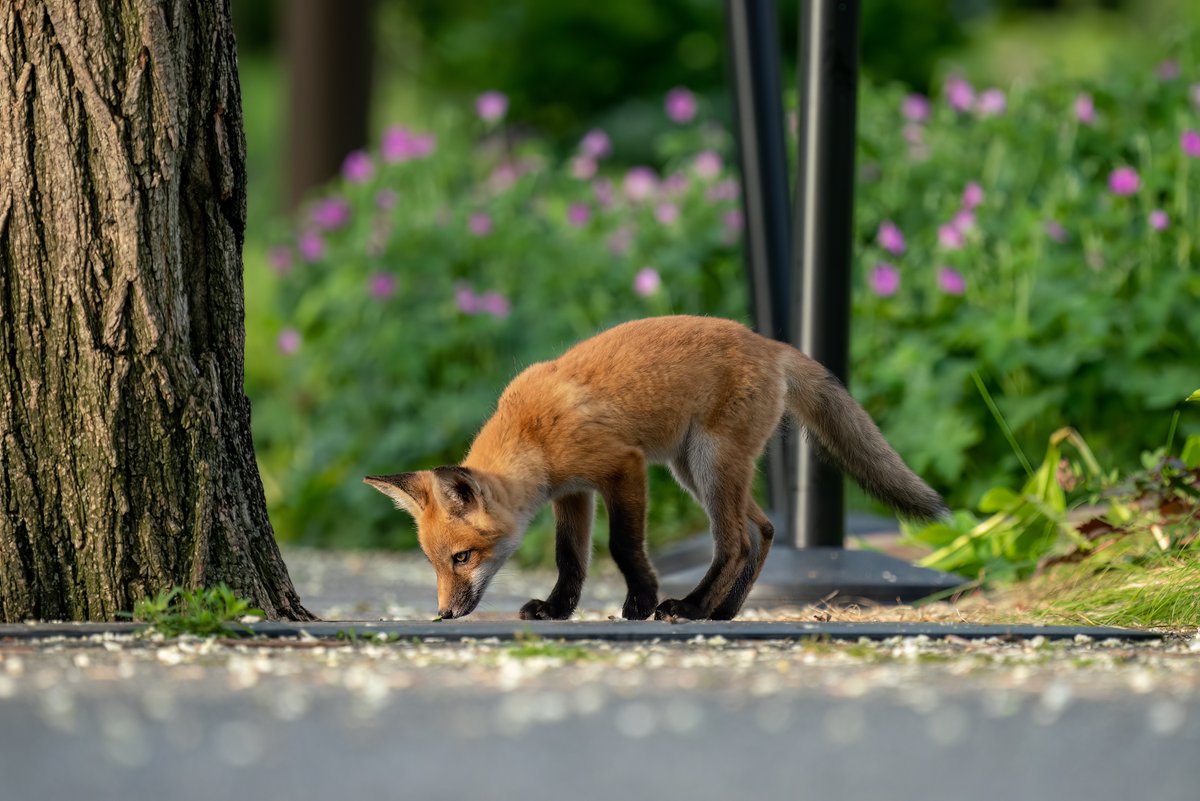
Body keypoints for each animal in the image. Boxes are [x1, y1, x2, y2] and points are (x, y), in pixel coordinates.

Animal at [365, 315, 947, 622]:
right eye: (435, 563)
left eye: (462, 557)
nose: (444, 614)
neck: (533, 434)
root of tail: (770, 342)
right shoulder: (573, 493)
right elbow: (569, 559)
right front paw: (558, 609)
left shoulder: (623, 468)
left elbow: (623, 546)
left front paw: (640, 601)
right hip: (697, 469)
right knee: (762, 530)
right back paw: (722, 612)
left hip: (708, 465)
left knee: (734, 542)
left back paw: (689, 606)